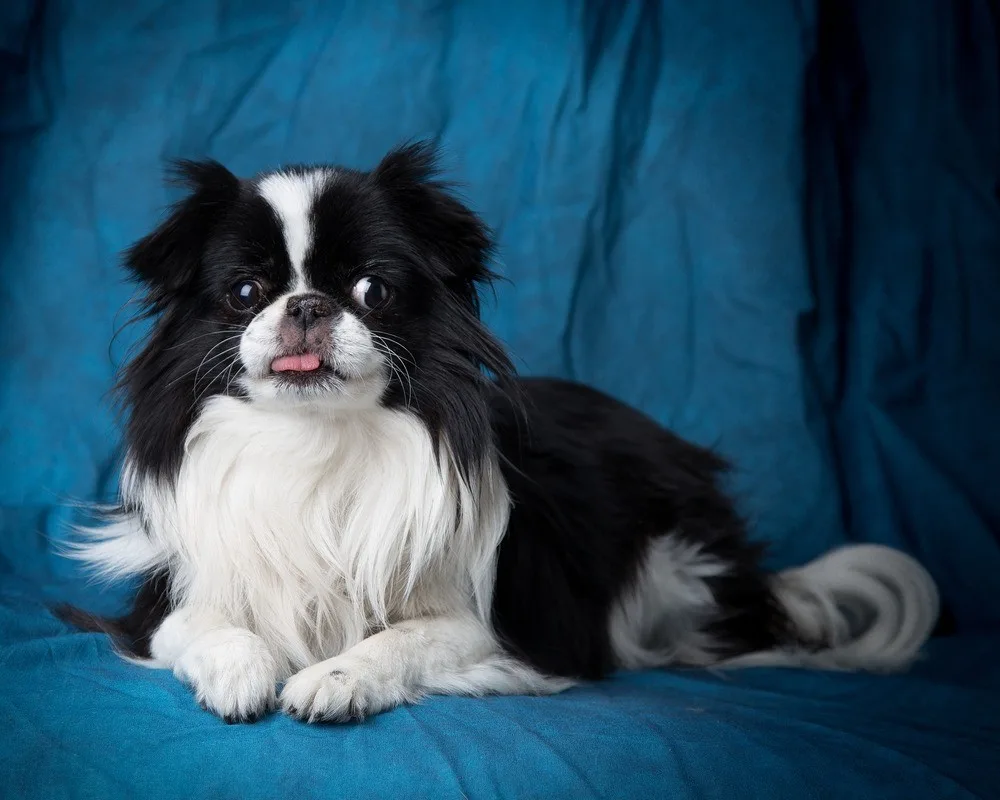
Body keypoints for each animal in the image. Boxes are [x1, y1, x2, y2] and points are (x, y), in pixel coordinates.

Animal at [60, 144, 936, 724]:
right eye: (245, 292)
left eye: (373, 291)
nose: (306, 304)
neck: (319, 442)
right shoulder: (169, 604)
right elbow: (208, 627)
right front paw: (243, 670)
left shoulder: (493, 628)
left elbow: (401, 641)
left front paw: (338, 678)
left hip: (676, 571)